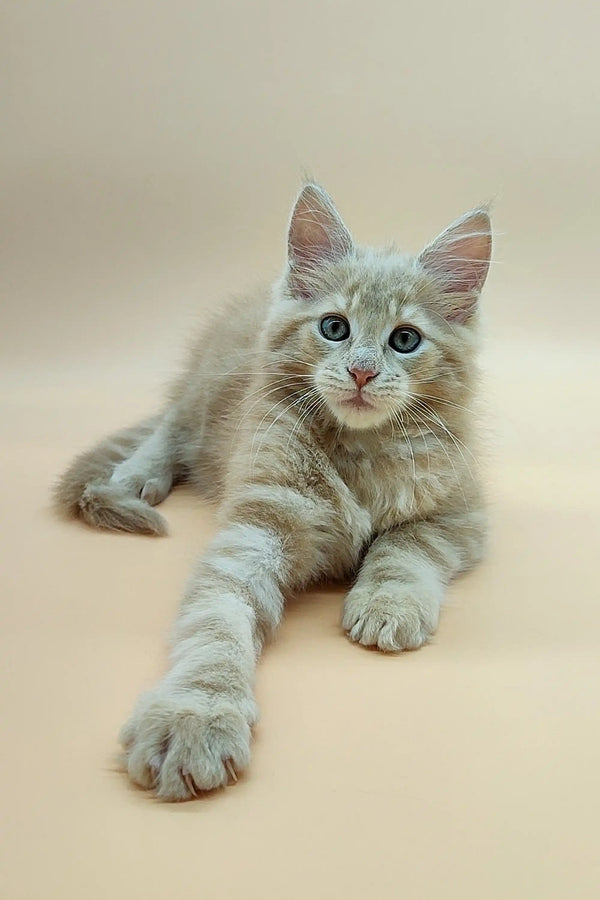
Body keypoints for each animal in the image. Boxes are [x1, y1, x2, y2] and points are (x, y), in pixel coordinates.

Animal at [55, 183, 492, 800]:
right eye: (334, 328)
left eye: (405, 339)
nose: (361, 372)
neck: (358, 448)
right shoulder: (260, 517)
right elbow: (216, 618)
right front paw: (193, 716)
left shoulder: (460, 510)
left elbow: (405, 548)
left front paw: (386, 606)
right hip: (204, 395)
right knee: (171, 425)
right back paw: (137, 474)